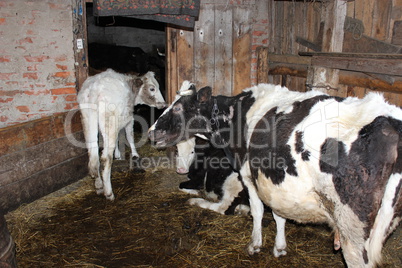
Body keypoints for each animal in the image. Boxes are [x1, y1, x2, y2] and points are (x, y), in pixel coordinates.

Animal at [149, 82, 402, 266]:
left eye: (178, 107)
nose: (151, 132)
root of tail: (392, 123)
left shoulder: (248, 175)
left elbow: (259, 211)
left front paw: (255, 245)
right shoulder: (275, 181)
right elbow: (279, 214)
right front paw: (279, 247)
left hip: (353, 230)